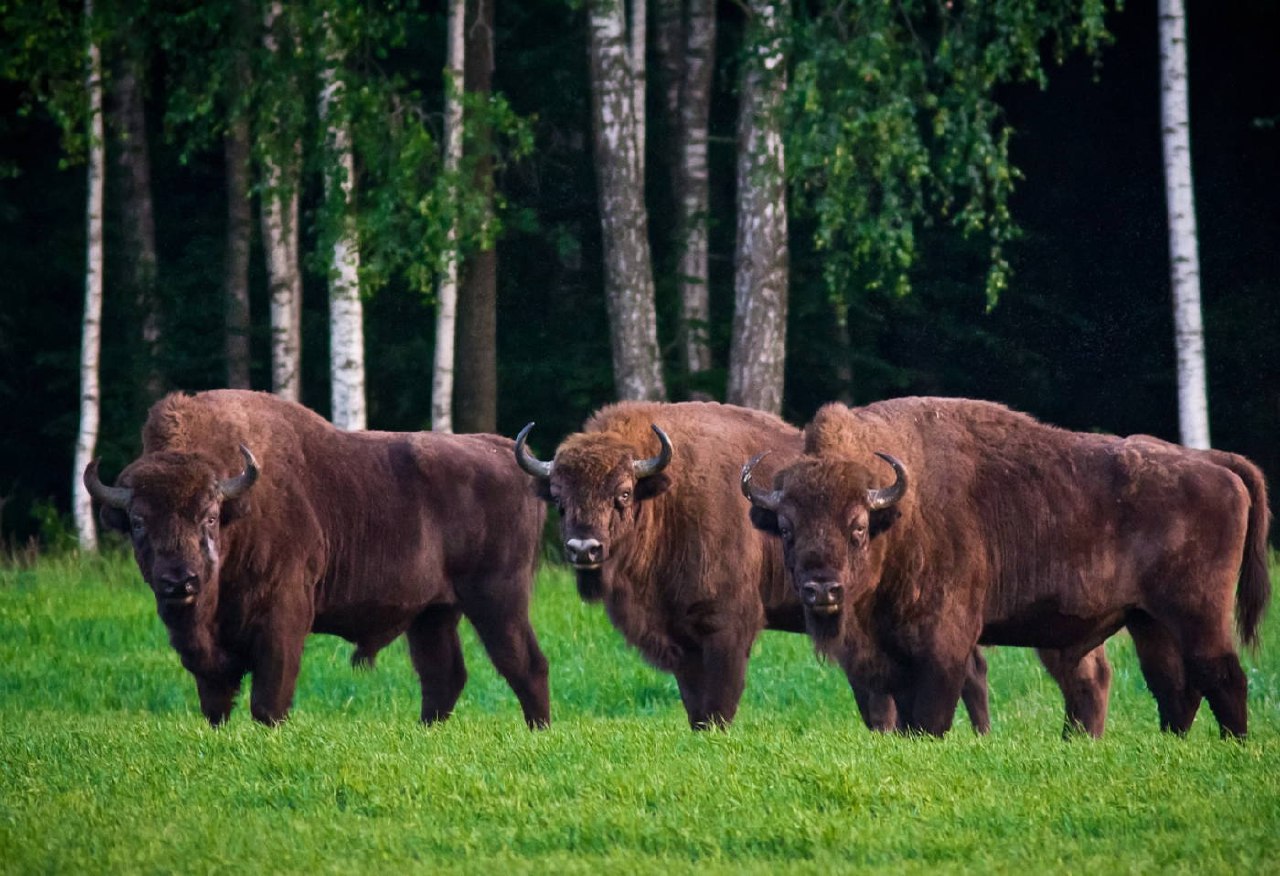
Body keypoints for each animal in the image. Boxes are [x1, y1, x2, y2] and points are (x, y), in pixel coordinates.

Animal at [85, 389, 550, 727]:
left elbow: (269, 700)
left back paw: (537, 731)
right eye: (138, 522)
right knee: (443, 675)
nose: (180, 581)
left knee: (526, 664)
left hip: (498, 599)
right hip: (433, 613)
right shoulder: (204, 651)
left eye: (210, 516)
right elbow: (215, 702)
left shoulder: (283, 619)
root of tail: (509, 455)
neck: (242, 508)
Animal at [517, 404, 998, 732]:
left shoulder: (727, 628)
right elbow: (695, 705)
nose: (584, 548)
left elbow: (719, 703)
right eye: (558, 499)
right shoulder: (680, 638)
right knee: (971, 669)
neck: (667, 496)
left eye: (622, 493)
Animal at [742, 399, 1269, 737]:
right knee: (1174, 687)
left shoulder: (943, 644)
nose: (821, 590)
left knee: (1223, 676)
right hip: (1148, 621)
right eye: (785, 528)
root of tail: (1214, 464)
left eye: (857, 527)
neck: (900, 514)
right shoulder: (885, 654)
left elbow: (930, 717)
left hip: (1198, 614)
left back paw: (1234, 747)